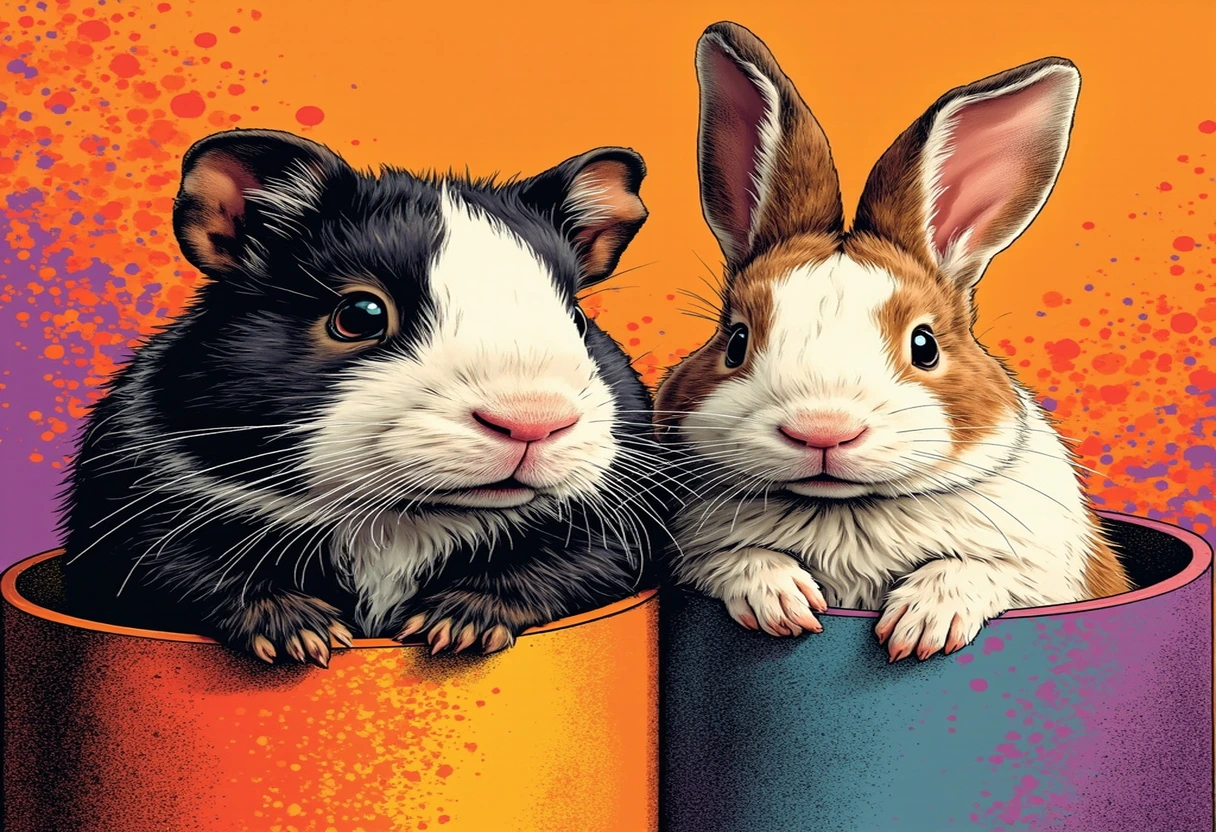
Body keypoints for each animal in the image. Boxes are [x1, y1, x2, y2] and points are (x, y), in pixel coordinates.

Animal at [60, 128, 668, 664]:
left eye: (578, 319)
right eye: (359, 315)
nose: (531, 423)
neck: (402, 521)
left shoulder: (611, 538)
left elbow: (567, 567)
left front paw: (456, 627)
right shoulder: (137, 521)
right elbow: (189, 571)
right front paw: (302, 637)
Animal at [656, 21, 1130, 662]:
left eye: (924, 345)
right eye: (735, 342)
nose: (822, 430)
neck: (844, 511)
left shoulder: (1044, 574)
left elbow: (978, 570)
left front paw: (922, 625)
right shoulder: (692, 554)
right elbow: (736, 559)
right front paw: (784, 604)